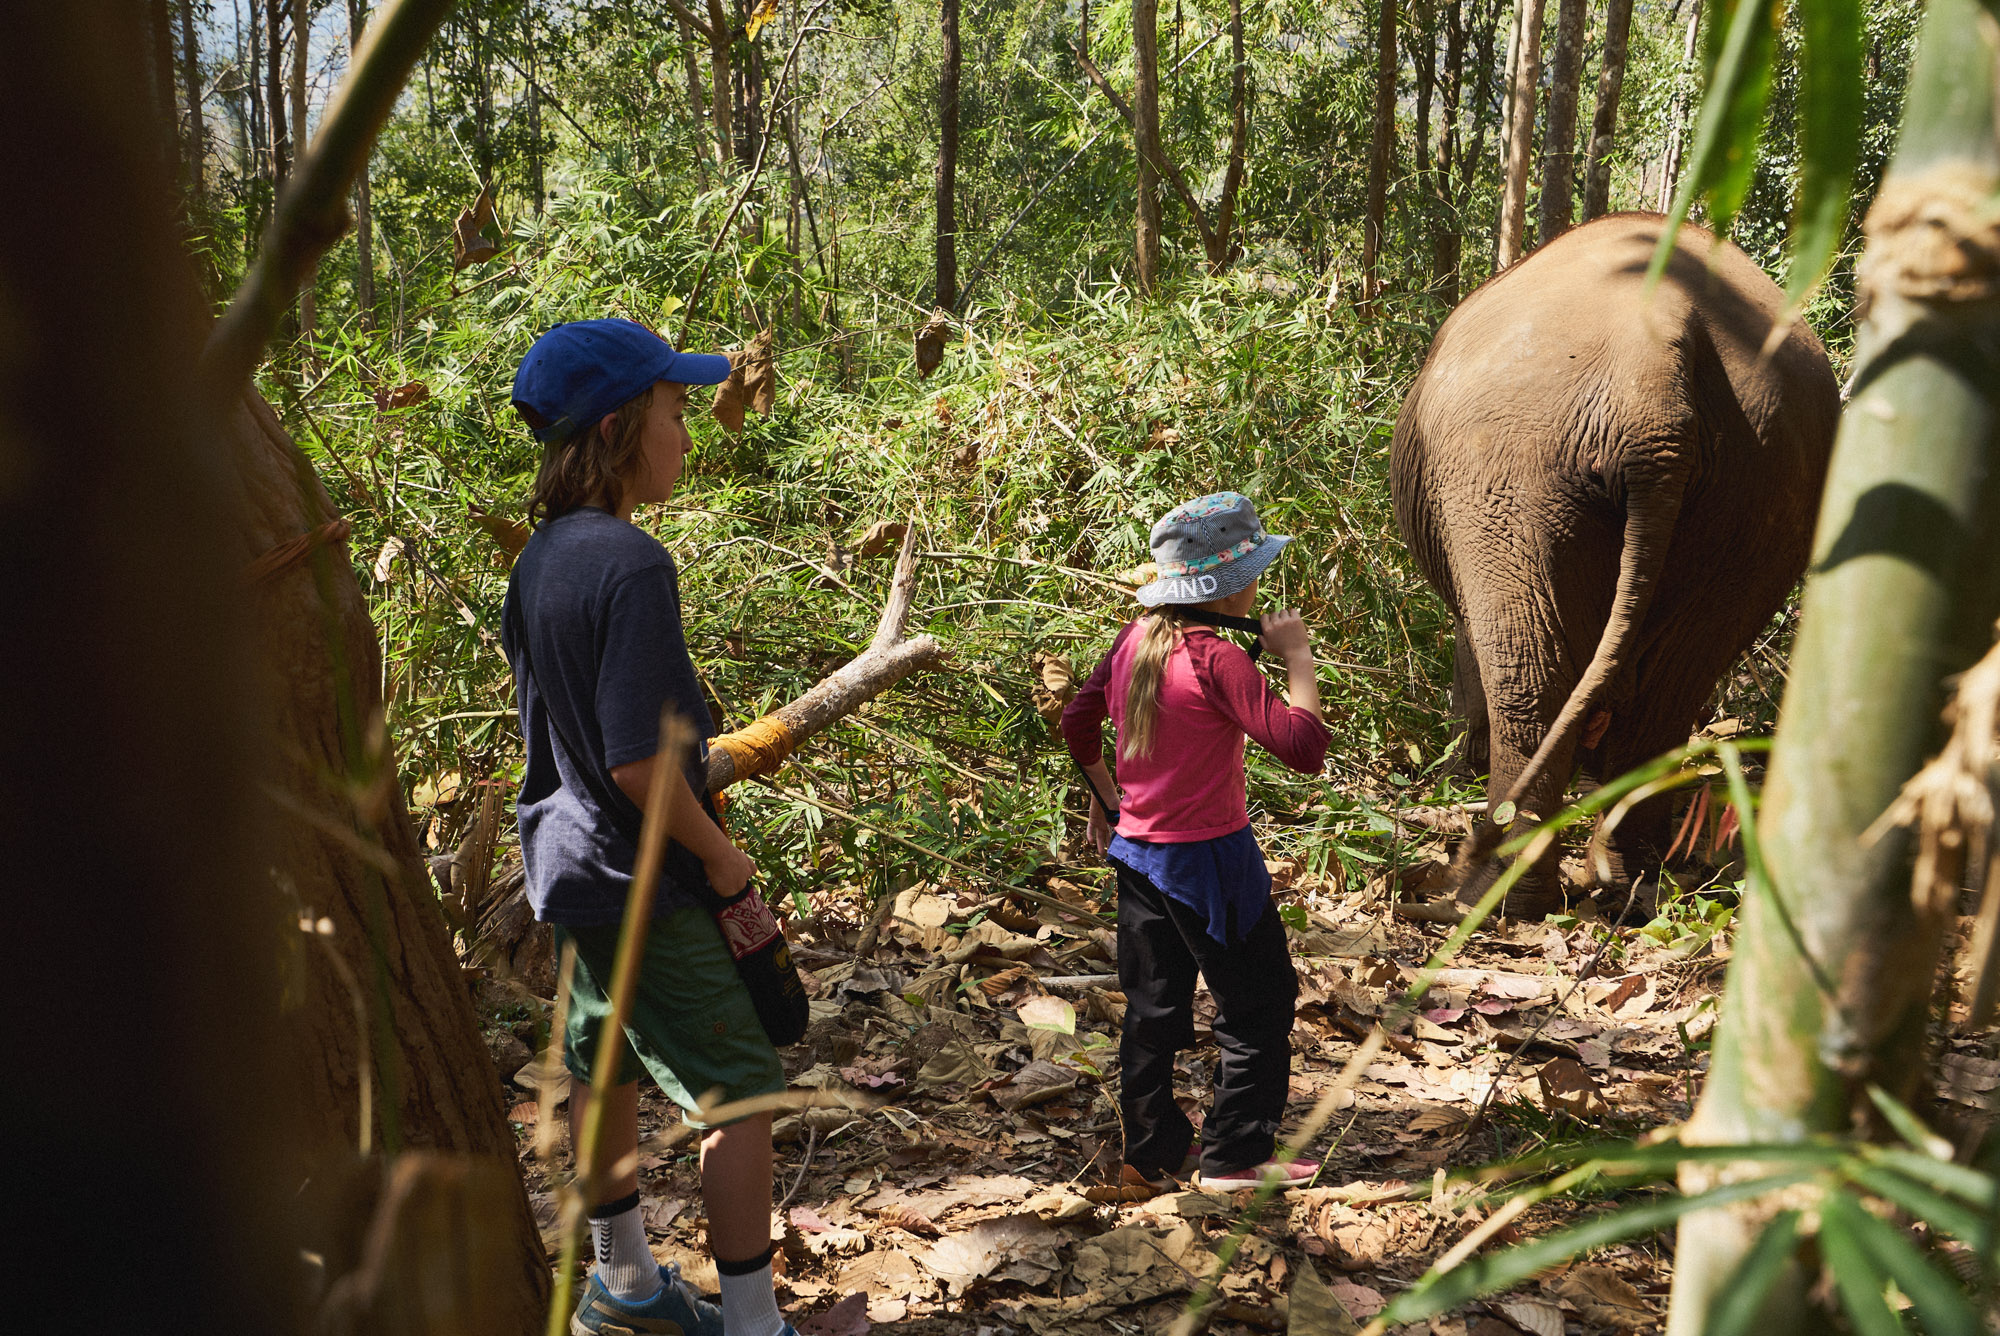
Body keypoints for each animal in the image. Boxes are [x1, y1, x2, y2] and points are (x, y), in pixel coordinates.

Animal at [1392, 214, 1840, 912]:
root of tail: (1653, 366)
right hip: (1765, 487)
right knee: (1672, 690)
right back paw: (1628, 885)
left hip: (1504, 468)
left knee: (1530, 676)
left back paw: (1488, 894)